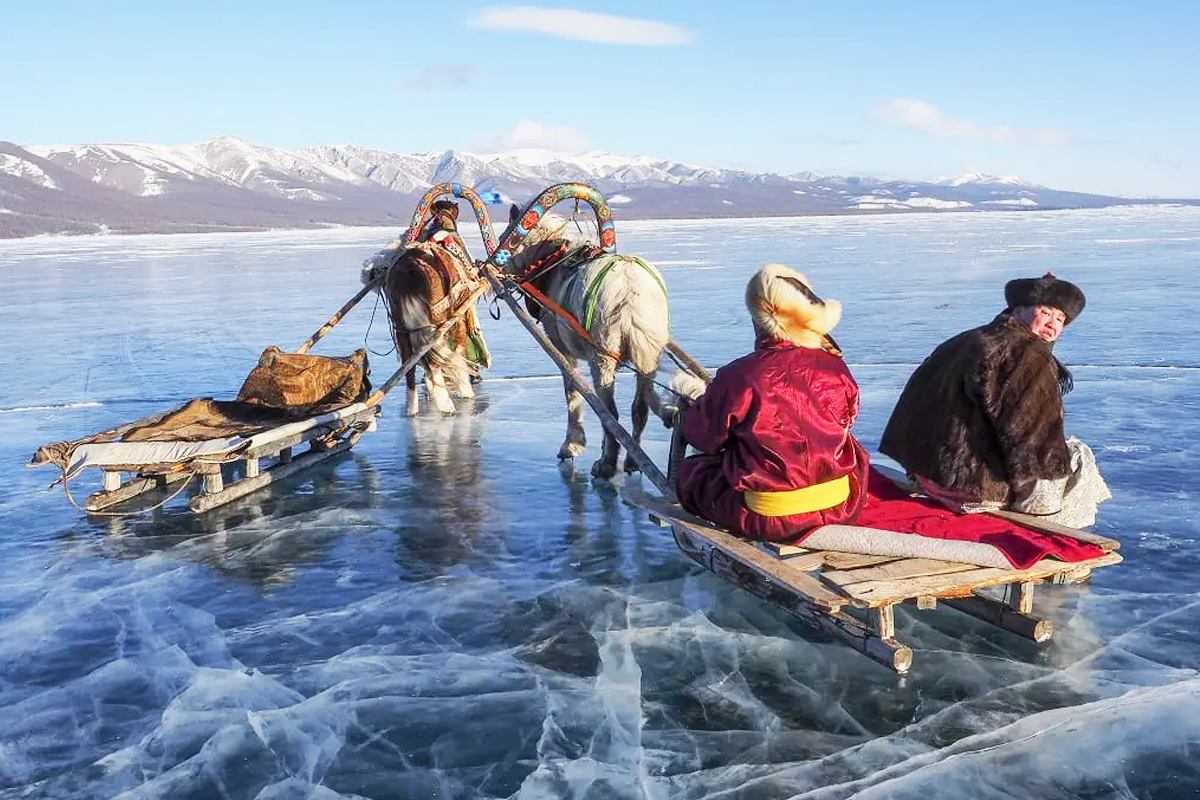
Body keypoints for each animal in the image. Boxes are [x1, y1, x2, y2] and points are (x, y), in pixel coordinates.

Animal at [504, 208, 676, 482]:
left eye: (507, 235)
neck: (551, 262)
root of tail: (629, 293)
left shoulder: (561, 347)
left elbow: (572, 391)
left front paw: (571, 445)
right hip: (648, 351)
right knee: (639, 408)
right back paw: (632, 460)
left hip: (602, 356)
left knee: (611, 413)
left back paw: (606, 464)